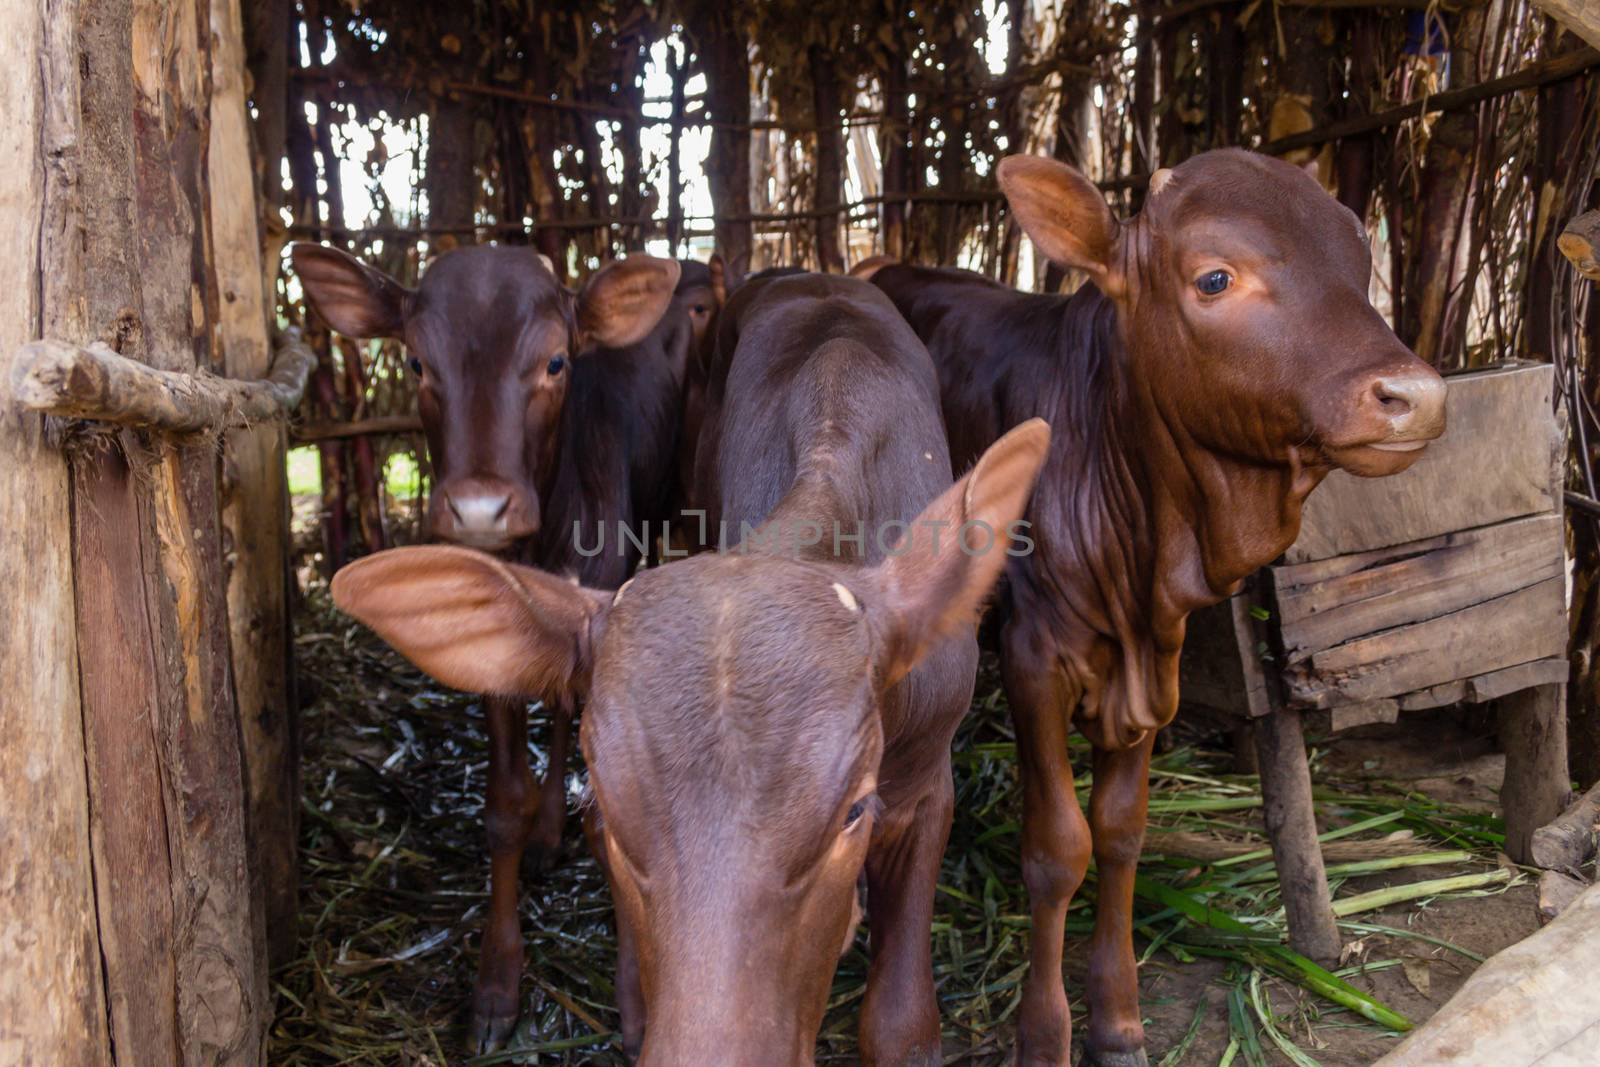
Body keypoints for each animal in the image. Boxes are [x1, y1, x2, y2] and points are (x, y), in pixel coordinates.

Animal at [292, 244, 688, 1049]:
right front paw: (497, 983)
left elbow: (612, 812)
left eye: (557, 360)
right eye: (416, 361)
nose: (478, 507)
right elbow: (501, 806)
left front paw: (636, 1001)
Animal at [876, 146, 1452, 1062]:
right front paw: (1046, 1032)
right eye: (1215, 277)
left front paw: (1116, 1018)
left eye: (1360, 263)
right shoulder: (1033, 656)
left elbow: (1119, 832)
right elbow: (1057, 847)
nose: (1415, 395)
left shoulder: (1158, 654)